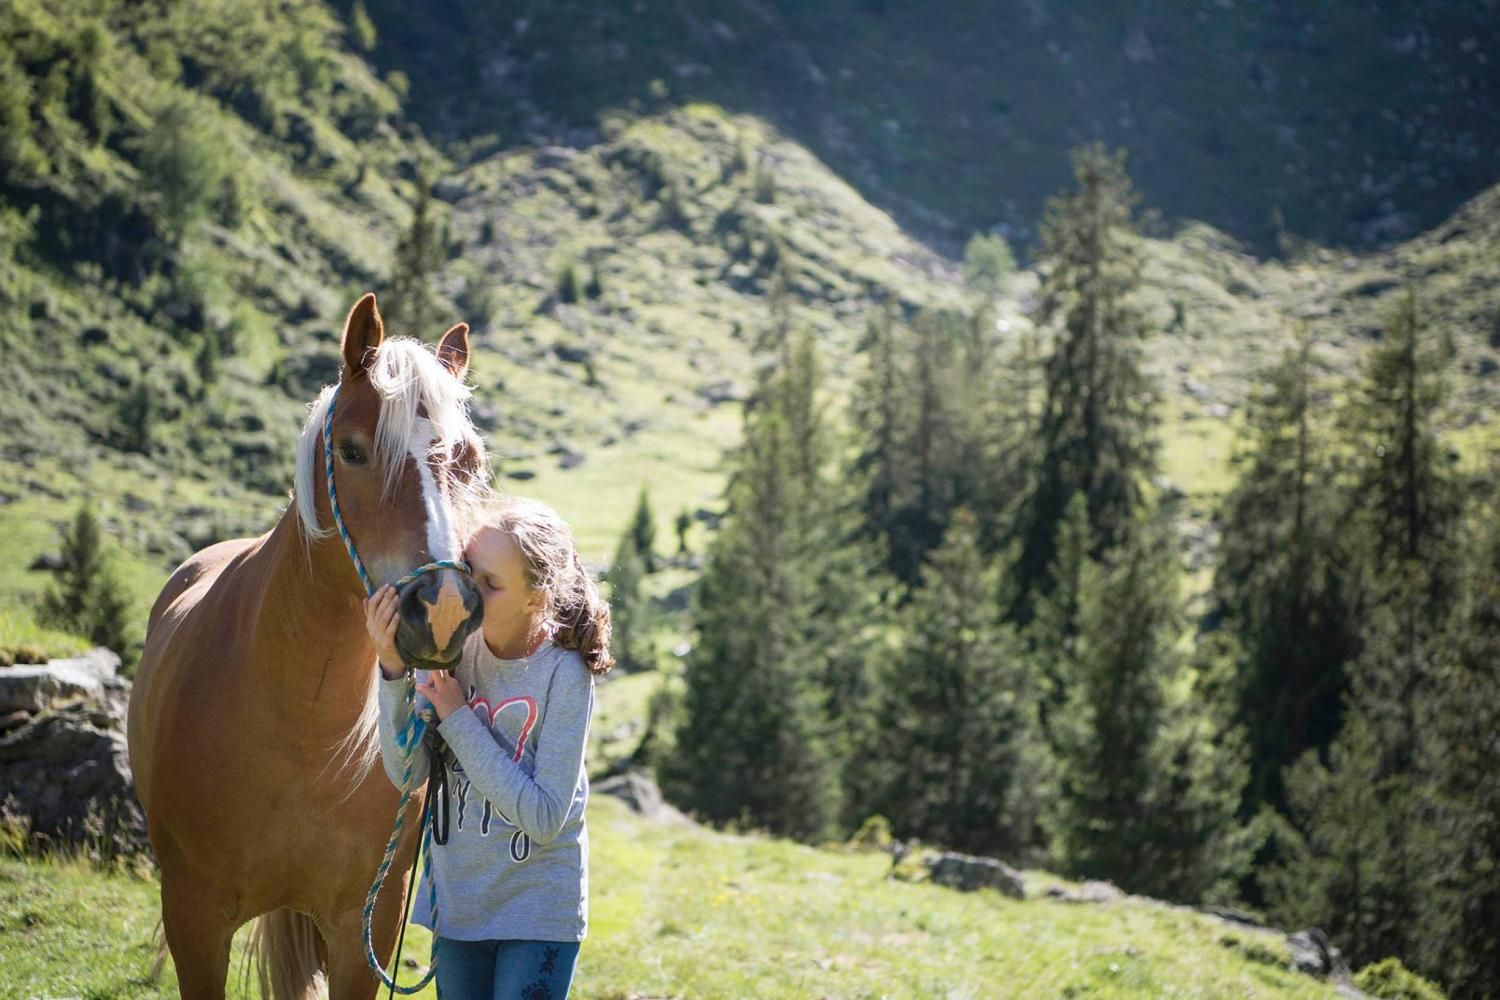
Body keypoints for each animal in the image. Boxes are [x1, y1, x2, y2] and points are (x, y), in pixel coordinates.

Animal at [127, 293, 492, 995]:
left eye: (469, 462)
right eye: (351, 450)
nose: (443, 611)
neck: (299, 728)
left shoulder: (365, 930)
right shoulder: (193, 918)